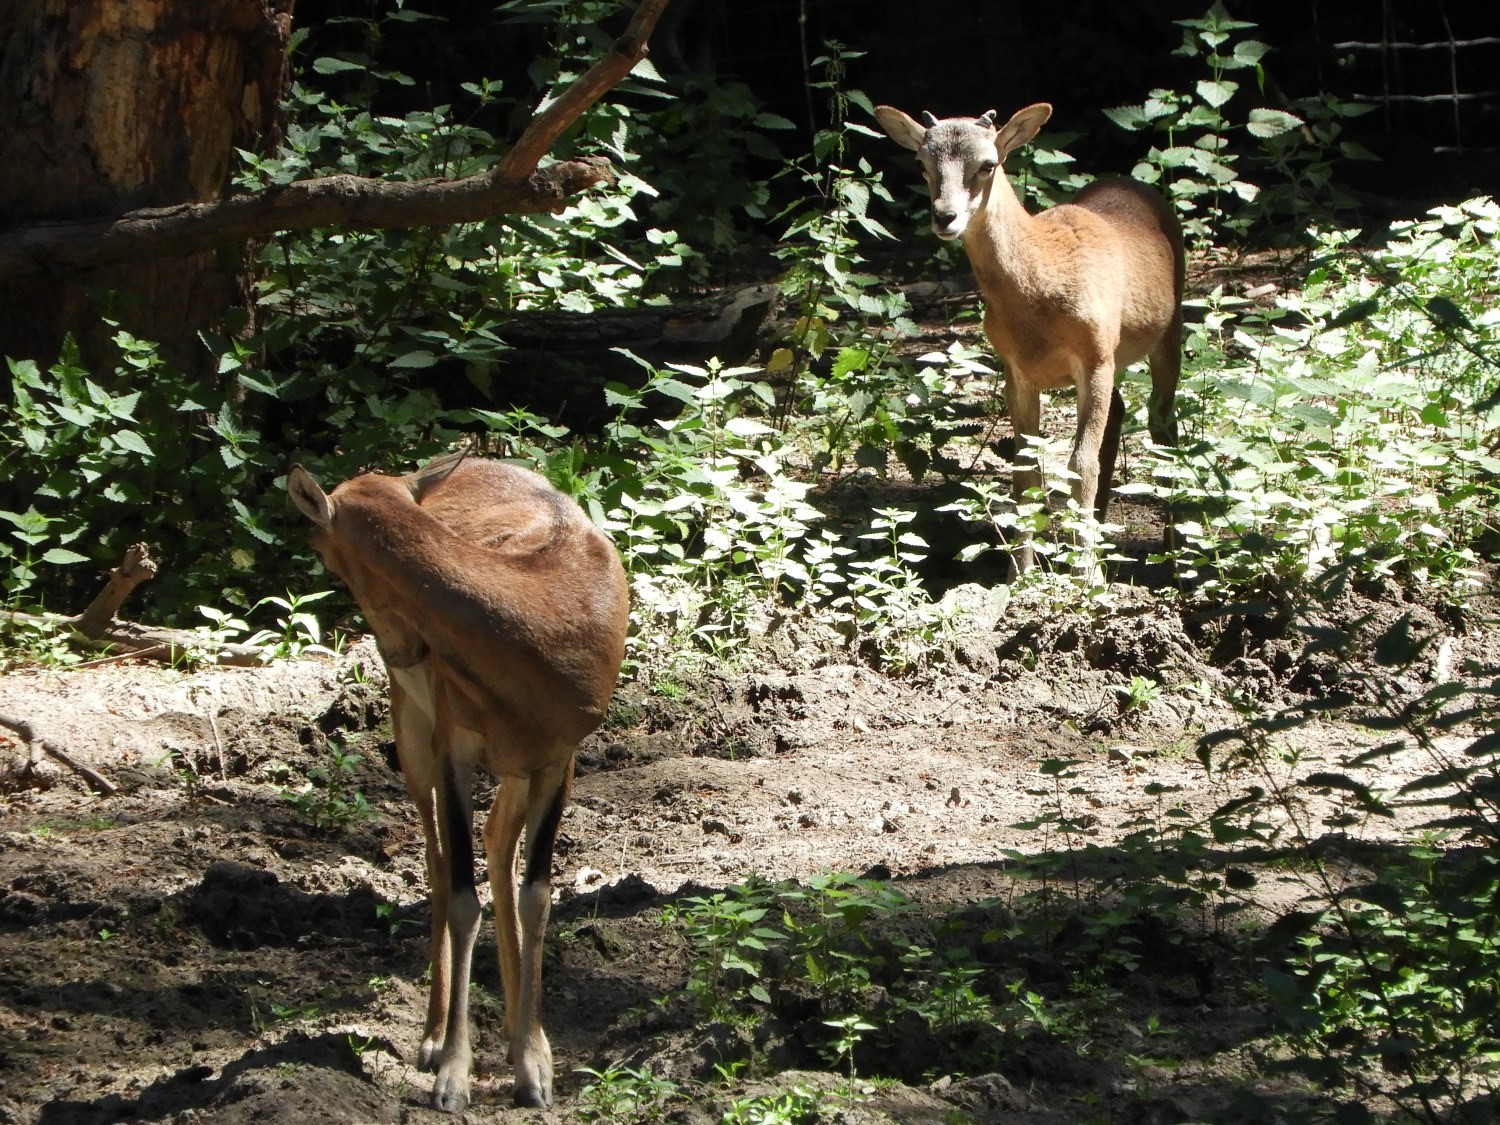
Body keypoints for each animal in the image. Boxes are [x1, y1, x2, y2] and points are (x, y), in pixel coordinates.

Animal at [286, 453, 627, 1110]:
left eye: (322, 548)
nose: (405, 651)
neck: (543, 614)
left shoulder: (560, 757)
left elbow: (537, 892)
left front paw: (535, 1071)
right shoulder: (455, 747)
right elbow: (464, 894)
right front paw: (452, 1075)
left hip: (515, 768)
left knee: (497, 844)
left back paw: (525, 1036)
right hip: (414, 734)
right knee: (439, 859)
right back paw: (431, 1036)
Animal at [870, 102, 1182, 576]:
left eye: (988, 163)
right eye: (922, 163)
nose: (944, 216)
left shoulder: (1095, 354)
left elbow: (1080, 464)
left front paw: (1086, 575)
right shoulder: (1015, 369)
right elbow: (1025, 470)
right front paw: (1020, 570)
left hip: (1170, 325)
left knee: (1162, 421)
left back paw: (1171, 549)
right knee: (1120, 415)